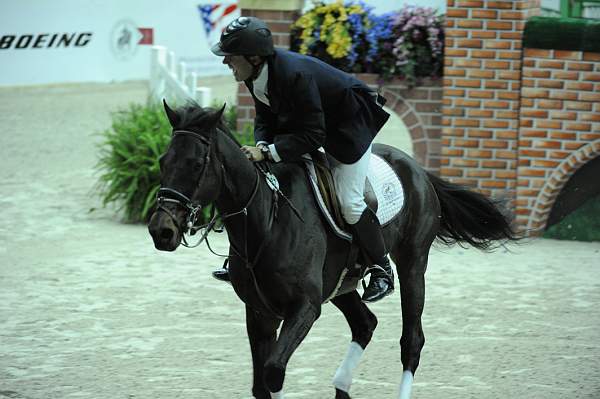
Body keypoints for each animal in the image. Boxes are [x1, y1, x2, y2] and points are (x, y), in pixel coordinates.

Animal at [148, 101, 516, 398]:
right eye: (163, 161)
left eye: (197, 164)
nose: (160, 231)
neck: (267, 222)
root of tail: (417, 169)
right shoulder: (259, 311)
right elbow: (260, 385)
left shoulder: (305, 308)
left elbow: (273, 373)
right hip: (342, 285)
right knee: (365, 324)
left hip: (413, 265)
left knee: (411, 342)